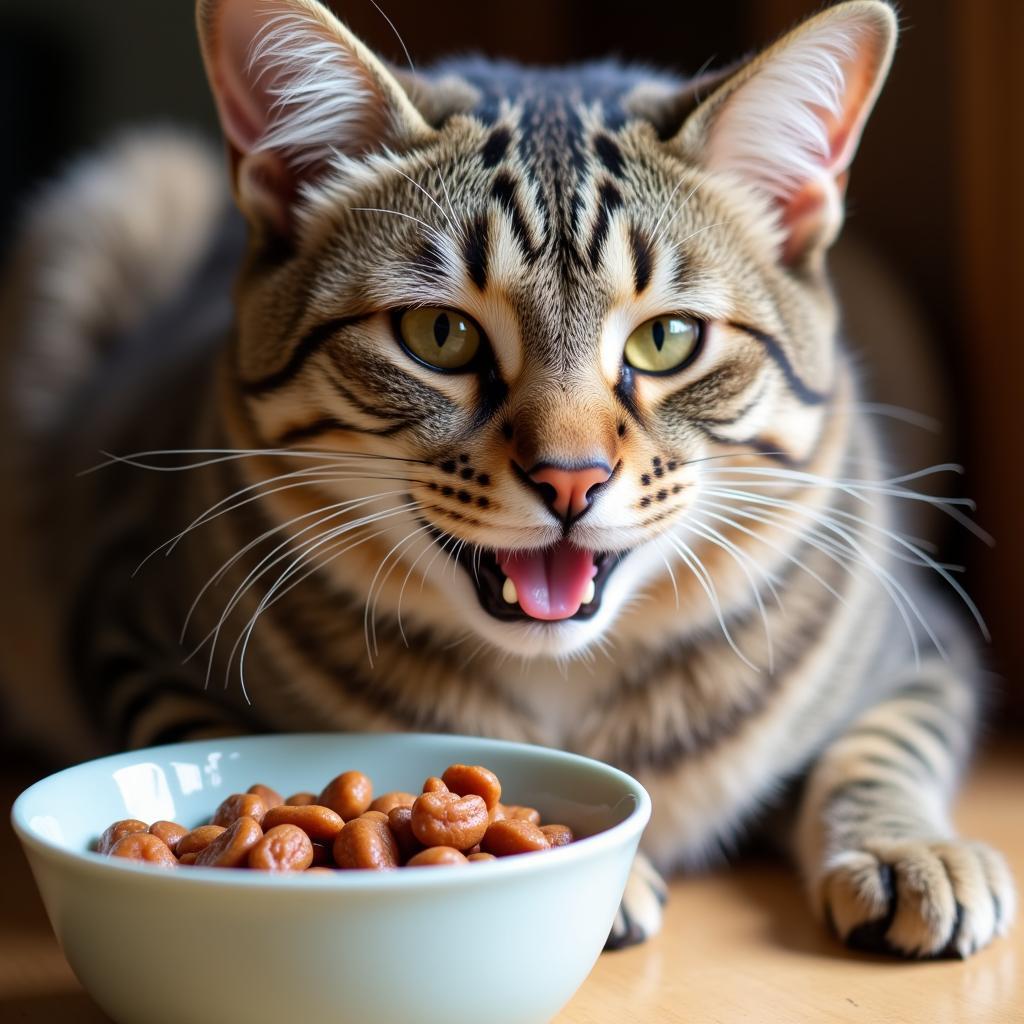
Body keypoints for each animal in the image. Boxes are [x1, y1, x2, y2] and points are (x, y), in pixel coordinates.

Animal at [0, 0, 1011, 958]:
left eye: (667, 338)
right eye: (438, 335)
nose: (571, 479)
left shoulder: (923, 646)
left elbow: (884, 746)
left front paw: (910, 850)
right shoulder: (124, 622)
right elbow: (202, 732)